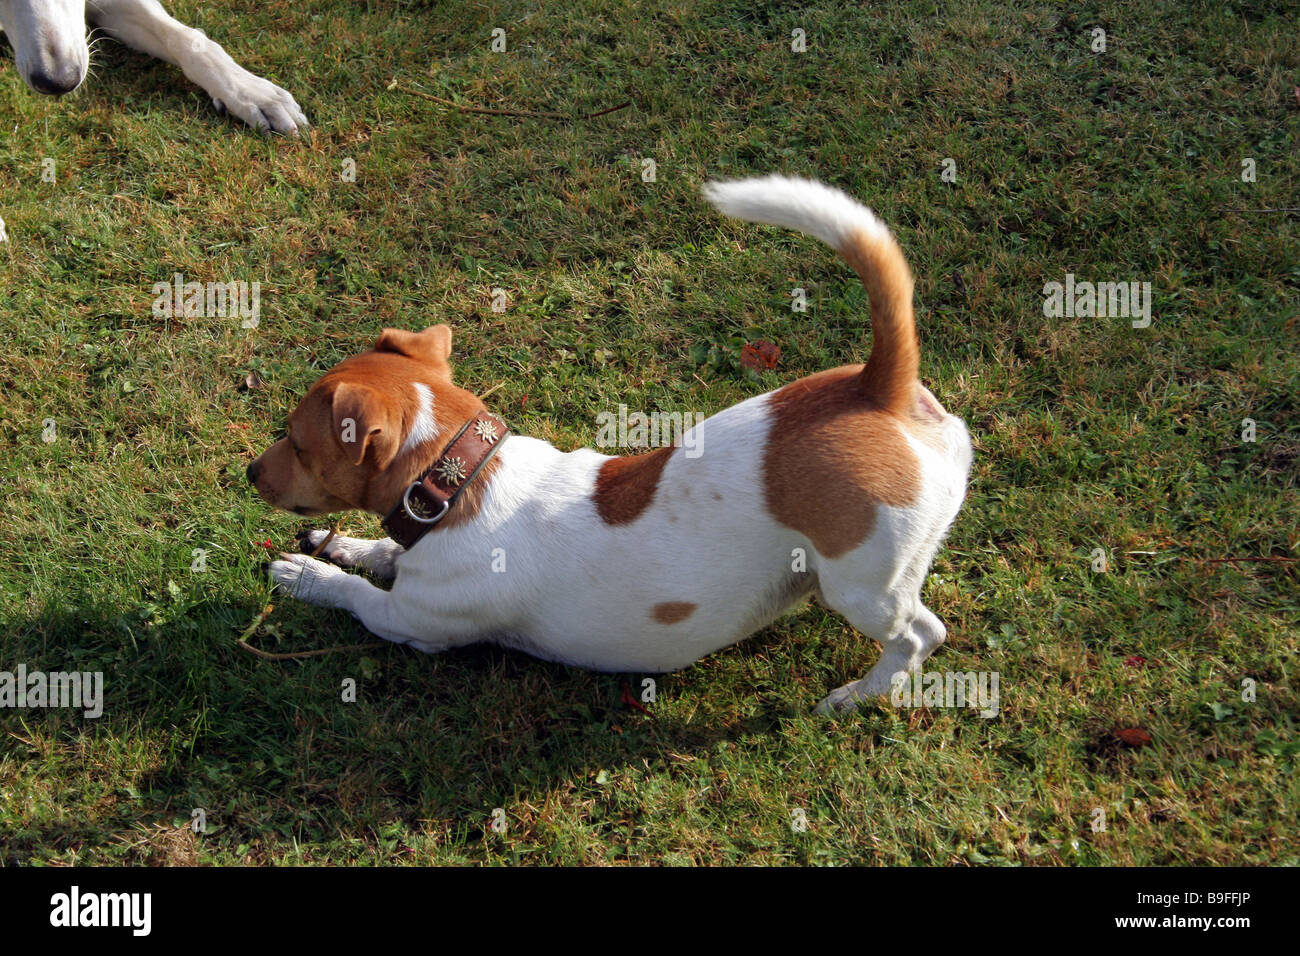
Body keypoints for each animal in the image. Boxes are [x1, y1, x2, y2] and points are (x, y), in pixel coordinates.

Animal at [248, 178, 972, 712]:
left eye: (295, 441)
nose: (250, 472)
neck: (462, 480)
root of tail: (879, 387)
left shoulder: (411, 623)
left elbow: (357, 595)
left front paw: (307, 574)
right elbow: (382, 553)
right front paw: (344, 546)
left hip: (863, 587)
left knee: (920, 634)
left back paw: (855, 697)